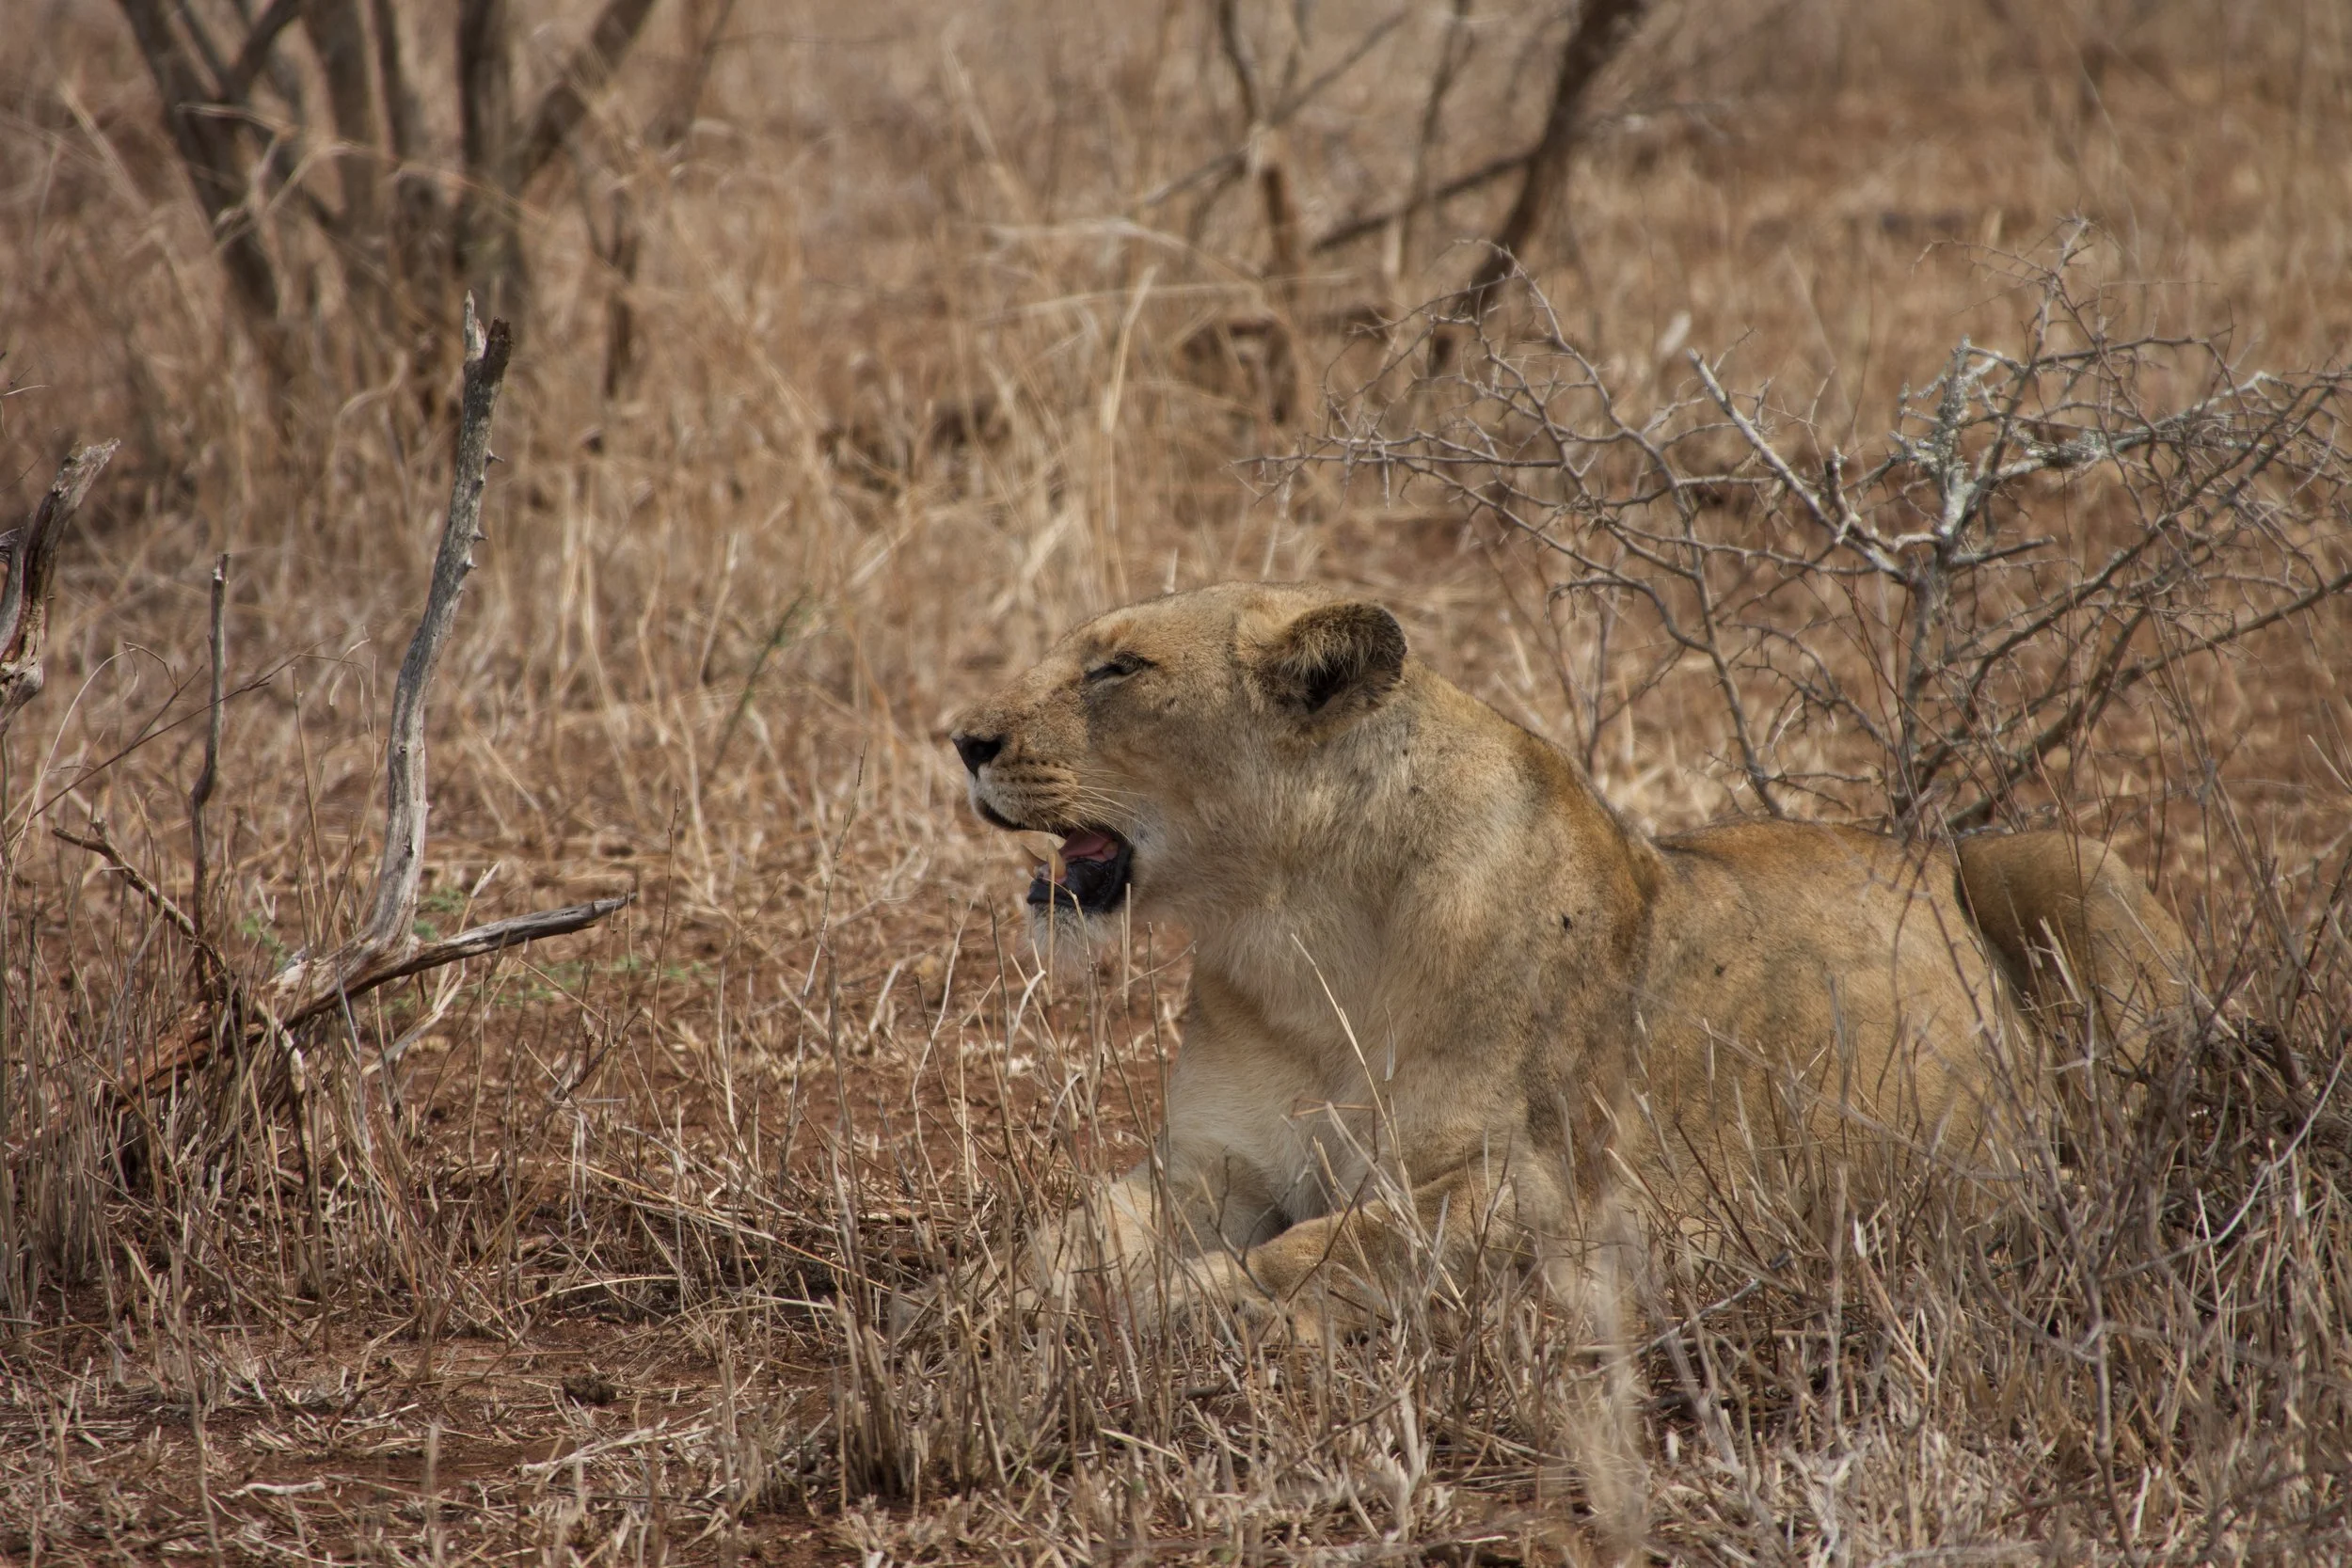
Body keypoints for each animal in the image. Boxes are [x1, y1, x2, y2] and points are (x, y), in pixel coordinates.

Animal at [939, 581, 2191, 1534]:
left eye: (1118, 669)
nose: (961, 739)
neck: (1296, 930)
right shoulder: (1207, 1166)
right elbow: (1068, 1239)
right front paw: (970, 1311)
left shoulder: (1553, 1195)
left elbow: (1325, 1246)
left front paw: (1186, 1308)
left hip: (2055, 862)